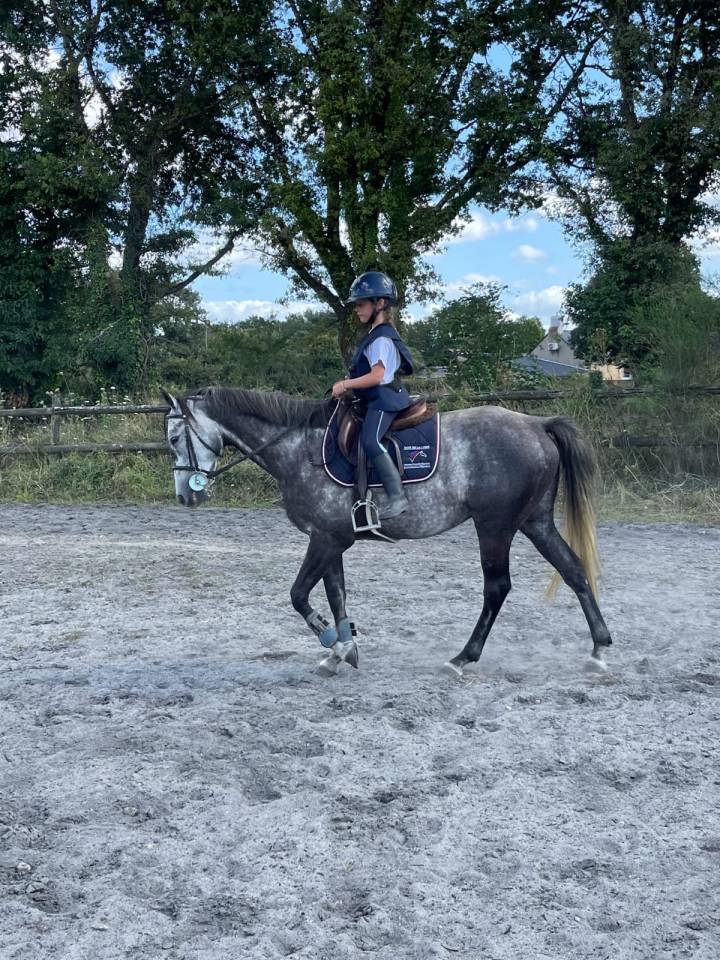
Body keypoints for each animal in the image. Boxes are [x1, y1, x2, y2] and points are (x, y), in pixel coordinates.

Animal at [162, 386, 612, 677]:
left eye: (175, 436)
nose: (186, 495)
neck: (299, 449)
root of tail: (537, 424)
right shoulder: (330, 539)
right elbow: (336, 594)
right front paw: (343, 650)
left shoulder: (326, 540)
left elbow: (298, 595)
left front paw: (332, 642)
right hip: (535, 522)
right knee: (573, 570)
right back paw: (598, 649)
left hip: (495, 527)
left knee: (497, 587)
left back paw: (462, 658)